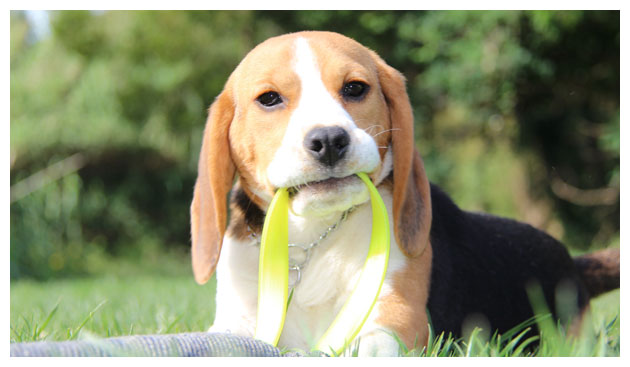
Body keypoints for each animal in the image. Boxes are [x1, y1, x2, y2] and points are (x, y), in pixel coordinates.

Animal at [189, 30, 624, 356]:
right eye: (269, 99)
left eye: (355, 88)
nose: (329, 140)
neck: (313, 241)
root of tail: (573, 264)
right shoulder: (235, 322)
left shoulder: (397, 318)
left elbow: (368, 346)